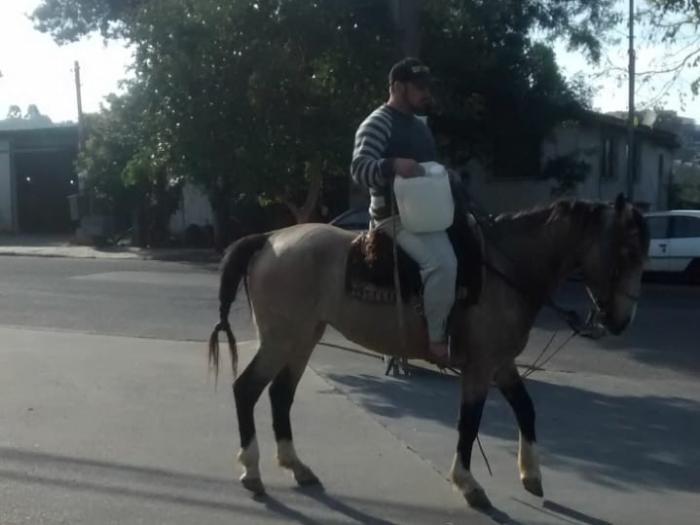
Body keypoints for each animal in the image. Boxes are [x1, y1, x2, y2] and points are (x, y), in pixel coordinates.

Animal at [208, 192, 652, 508]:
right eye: (628, 252)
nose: (622, 320)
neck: (505, 267)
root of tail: (269, 239)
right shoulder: (480, 366)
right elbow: (469, 422)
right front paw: (468, 483)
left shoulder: (502, 363)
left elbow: (525, 409)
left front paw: (531, 475)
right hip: (282, 338)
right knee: (246, 390)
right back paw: (252, 471)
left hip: (304, 337)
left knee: (280, 394)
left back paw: (296, 465)